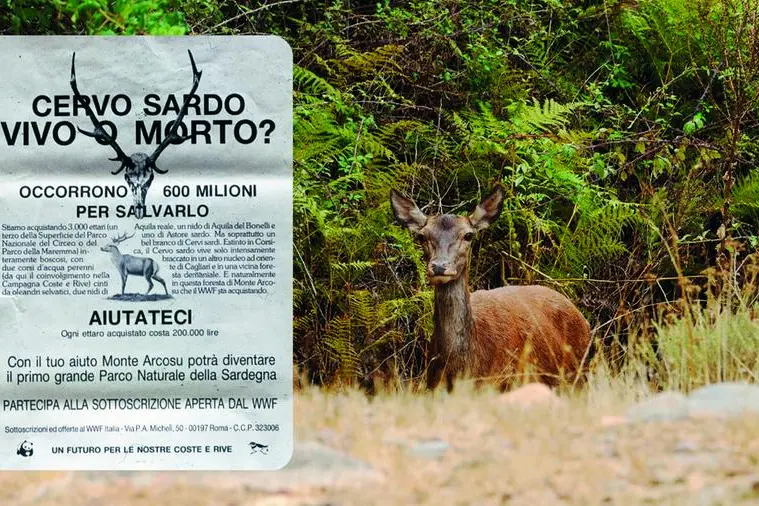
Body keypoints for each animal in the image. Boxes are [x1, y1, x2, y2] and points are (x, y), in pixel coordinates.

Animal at [390, 185, 591, 393]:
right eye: (422, 236)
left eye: (468, 235)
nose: (439, 266)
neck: (465, 365)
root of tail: (582, 319)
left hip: (577, 374)